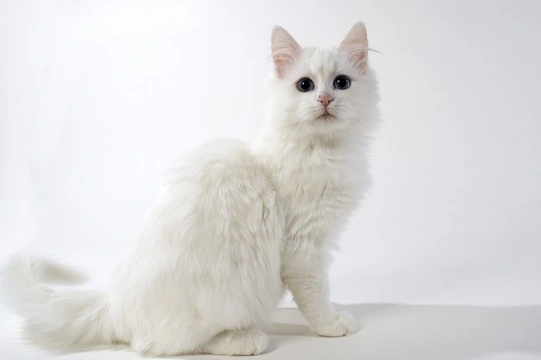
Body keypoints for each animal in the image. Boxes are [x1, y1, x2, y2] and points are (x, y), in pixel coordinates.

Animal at [2, 22, 378, 358]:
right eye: (305, 85)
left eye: (341, 83)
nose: (325, 98)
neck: (323, 150)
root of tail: (114, 307)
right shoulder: (304, 246)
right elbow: (315, 295)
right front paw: (332, 323)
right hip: (221, 300)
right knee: (166, 345)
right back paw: (243, 340)